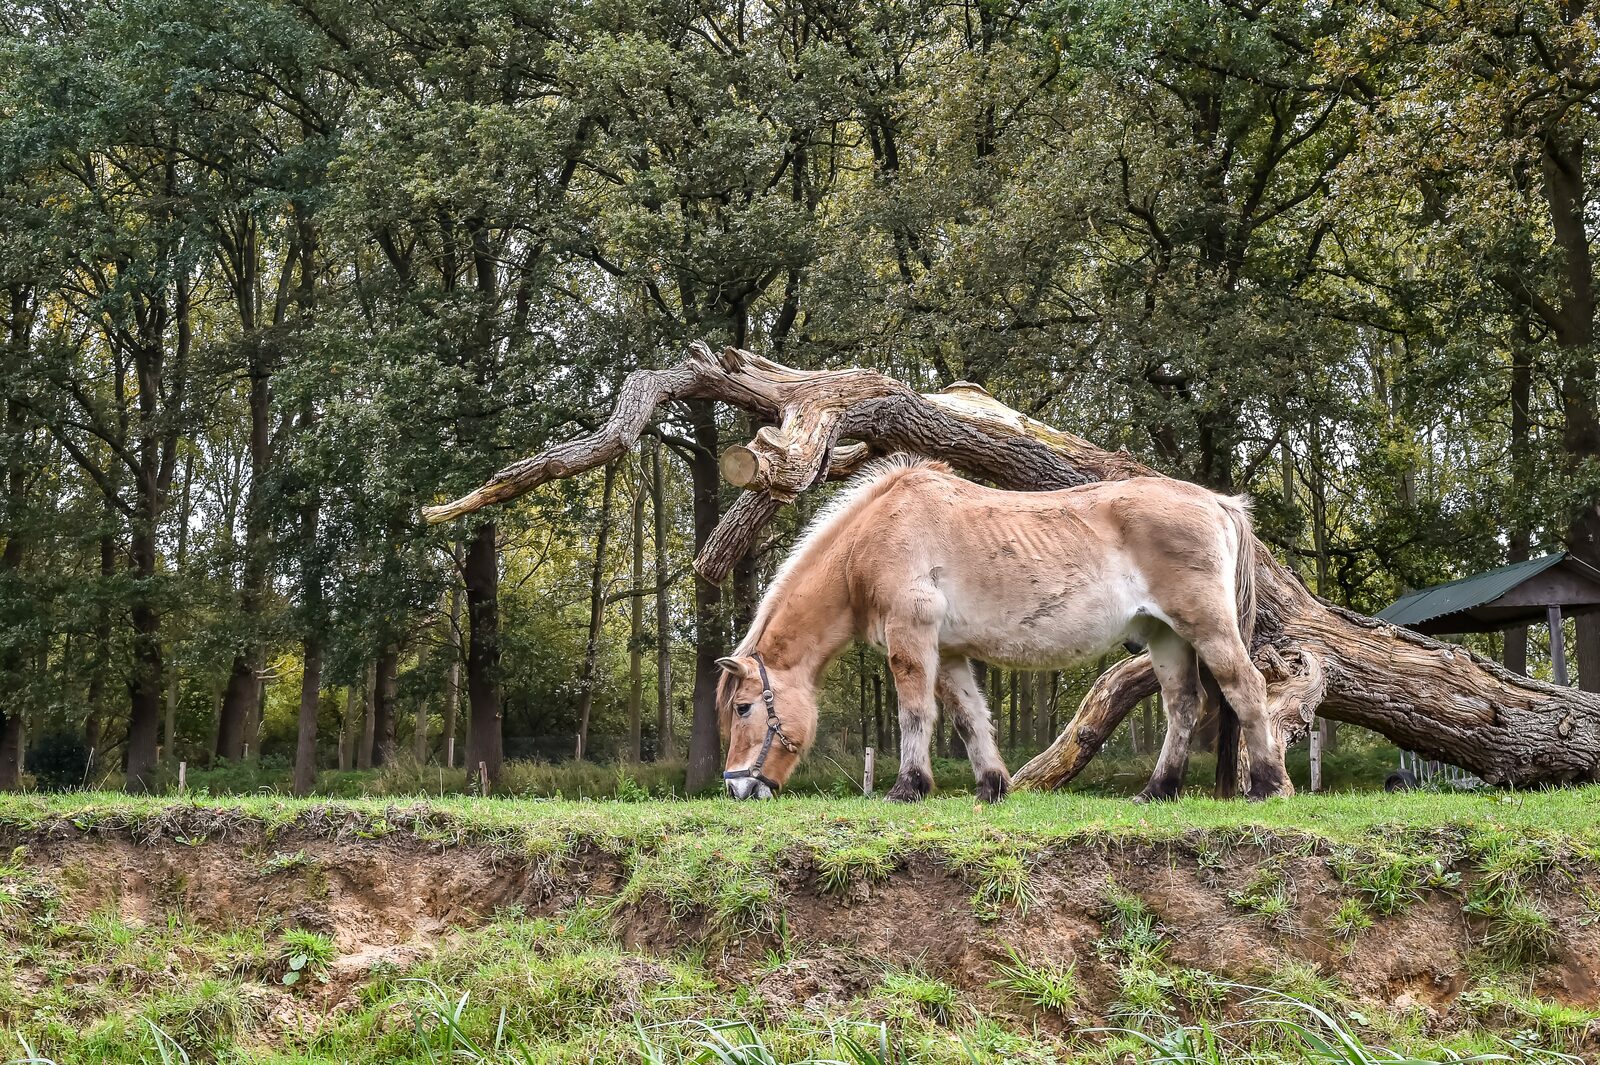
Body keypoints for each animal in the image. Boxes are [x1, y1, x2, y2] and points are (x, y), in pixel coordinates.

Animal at [720, 450, 1280, 799]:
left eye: (744, 707)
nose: (736, 786)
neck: (871, 540)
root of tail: (1218, 502)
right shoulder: (947, 652)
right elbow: (970, 718)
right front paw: (991, 786)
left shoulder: (912, 637)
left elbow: (915, 713)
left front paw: (907, 787)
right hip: (1166, 637)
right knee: (1183, 704)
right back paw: (1158, 791)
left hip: (1206, 626)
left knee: (1246, 687)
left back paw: (1266, 785)